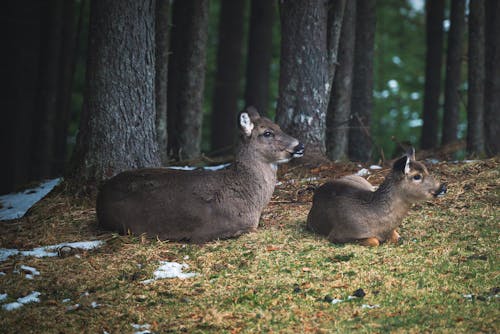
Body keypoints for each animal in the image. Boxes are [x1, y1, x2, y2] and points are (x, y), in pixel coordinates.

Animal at [306, 148, 448, 245]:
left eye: (427, 170)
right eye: (417, 176)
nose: (443, 187)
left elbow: (397, 237)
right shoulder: (339, 233)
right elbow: (374, 241)